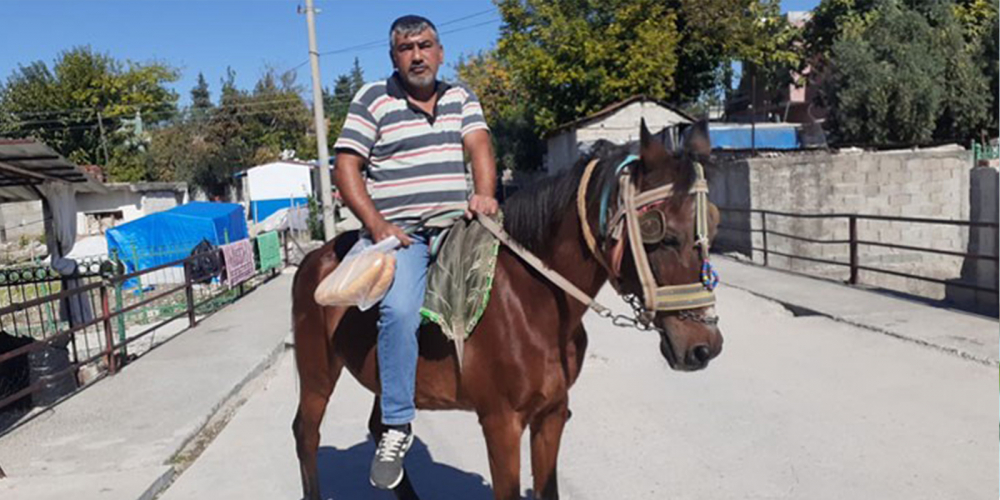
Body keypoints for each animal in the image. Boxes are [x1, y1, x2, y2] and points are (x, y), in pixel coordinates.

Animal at [292, 121, 724, 500]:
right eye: (660, 232)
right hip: (317, 375)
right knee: (306, 434)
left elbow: (548, 490)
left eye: (713, 225)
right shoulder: (501, 423)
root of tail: (314, 257)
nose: (704, 346)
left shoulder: (551, 414)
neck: (532, 302)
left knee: (381, 426)